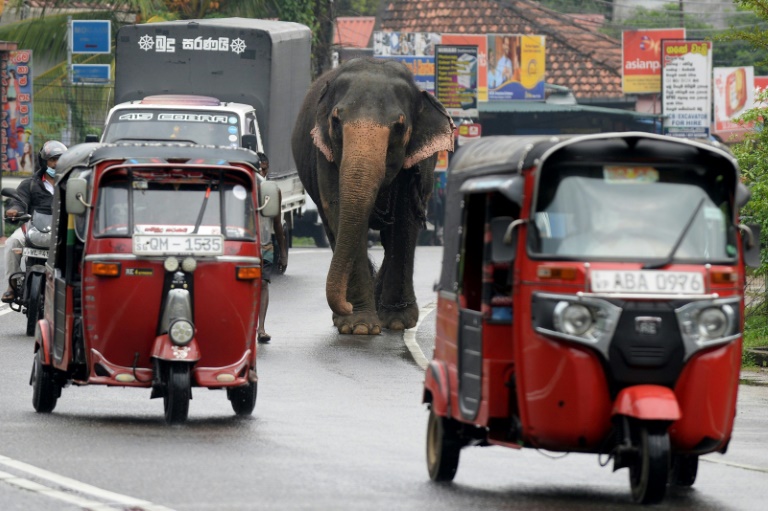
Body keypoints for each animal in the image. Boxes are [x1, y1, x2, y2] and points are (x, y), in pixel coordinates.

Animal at [292, 58, 452, 336]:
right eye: (336, 121)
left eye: (399, 127)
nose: (344, 306)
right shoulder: (324, 154)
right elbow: (338, 210)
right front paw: (358, 326)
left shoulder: (416, 164)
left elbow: (404, 220)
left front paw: (398, 322)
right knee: (332, 230)